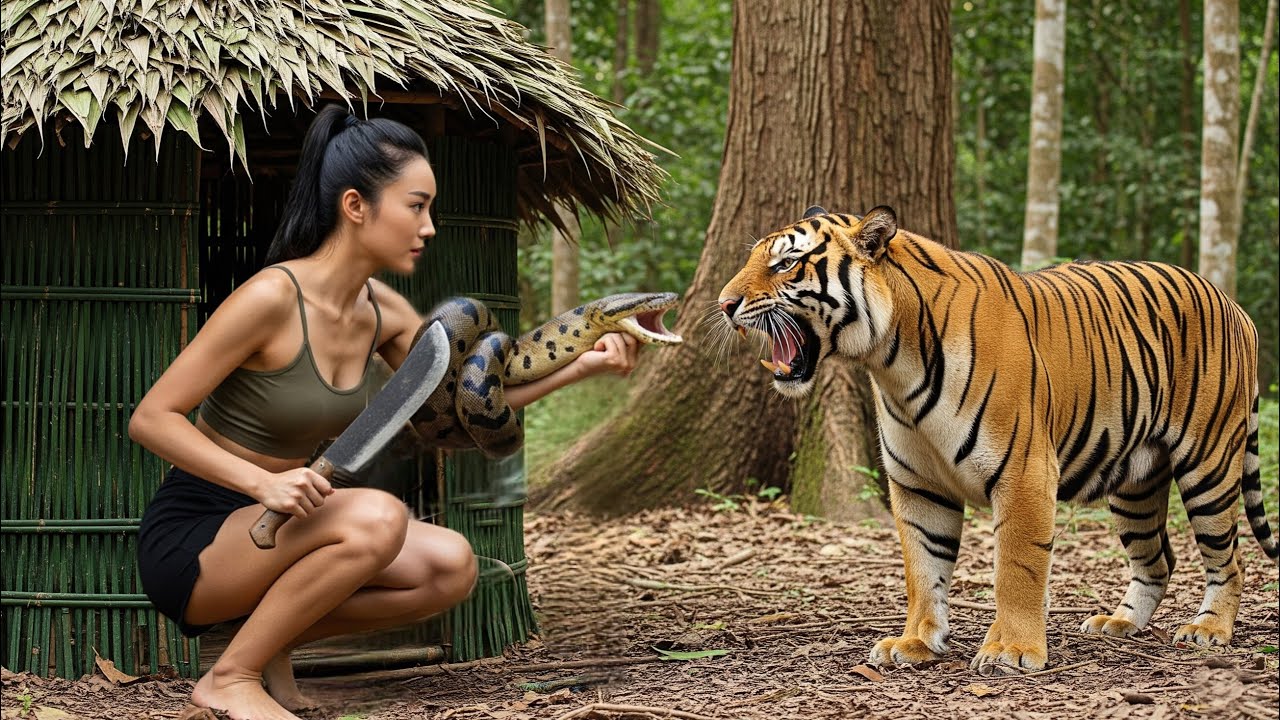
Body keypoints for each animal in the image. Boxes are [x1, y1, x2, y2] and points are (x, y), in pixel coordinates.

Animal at [718, 204, 1278, 676]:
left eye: (787, 263)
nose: (724, 304)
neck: (891, 363)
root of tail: (1236, 307)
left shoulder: (1024, 471)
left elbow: (1017, 568)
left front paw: (1011, 649)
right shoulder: (917, 484)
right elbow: (923, 569)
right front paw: (915, 642)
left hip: (1208, 465)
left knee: (1230, 559)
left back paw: (1209, 629)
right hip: (1135, 483)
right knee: (1157, 559)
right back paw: (1119, 623)